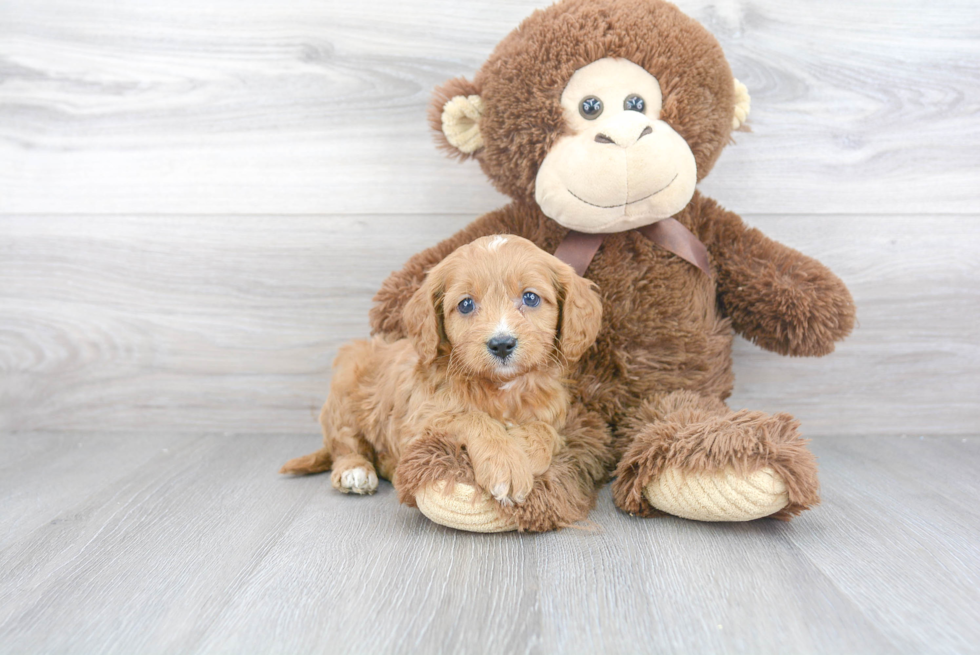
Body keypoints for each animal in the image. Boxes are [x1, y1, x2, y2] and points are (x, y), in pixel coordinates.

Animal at [280, 236, 600, 508]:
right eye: (466, 304)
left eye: (531, 298)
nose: (501, 344)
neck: (501, 387)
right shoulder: (420, 421)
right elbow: (472, 418)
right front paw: (505, 462)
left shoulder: (553, 414)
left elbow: (546, 430)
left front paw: (525, 448)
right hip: (346, 388)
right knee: (344, 444)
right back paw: (355, 471)